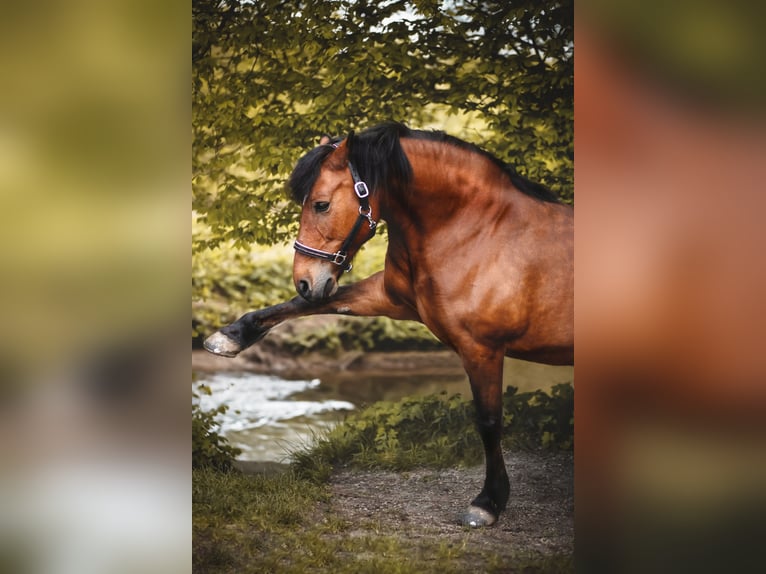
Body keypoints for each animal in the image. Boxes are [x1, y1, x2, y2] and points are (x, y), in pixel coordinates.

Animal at [206, 122, 576, 532]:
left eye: (321, 204)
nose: (303, 280)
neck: (477, 232)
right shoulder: (389, 299)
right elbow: (304, 305)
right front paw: (232, 336)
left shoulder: (482, 349)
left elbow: (489, 421)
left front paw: (488, 502)